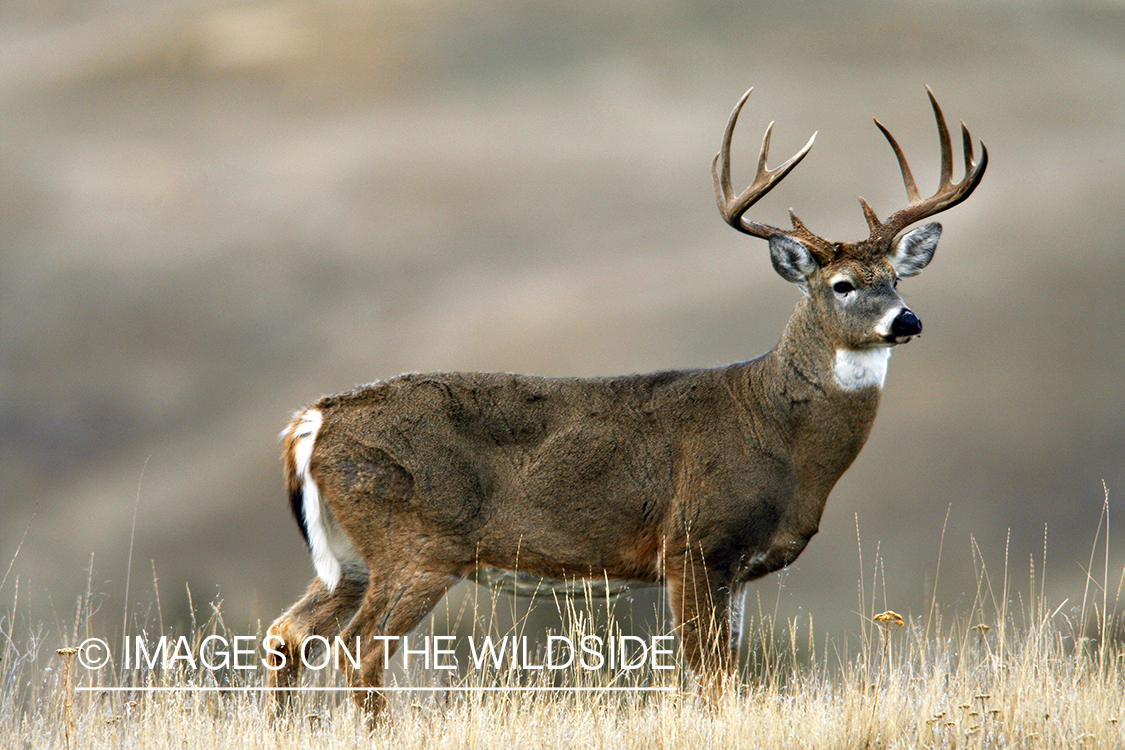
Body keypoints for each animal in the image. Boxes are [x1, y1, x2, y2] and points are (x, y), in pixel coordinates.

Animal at [263, 88, 985, 719]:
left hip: (349, 557)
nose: (906, 320)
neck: (776, 430)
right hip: (415, 542)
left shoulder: (738, 566)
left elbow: (726, 671)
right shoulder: (692, 541)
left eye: (895, 278)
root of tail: (312, 420)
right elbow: (710, 675)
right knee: (358, 649)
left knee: (286, 635)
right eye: (841, 284)